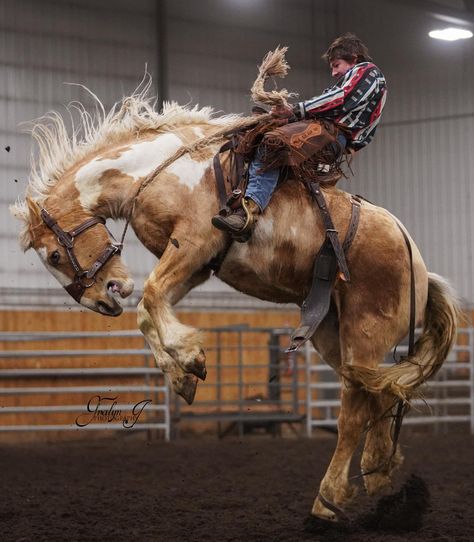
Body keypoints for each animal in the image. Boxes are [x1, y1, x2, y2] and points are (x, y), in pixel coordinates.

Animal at [12, 49, 460, 524]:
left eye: (54, 256)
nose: (102, 299)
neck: (159, 171)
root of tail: (419, 266)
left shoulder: (194, 243)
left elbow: (150, 298)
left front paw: (190, 358)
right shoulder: (197, 264)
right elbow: (148, 311)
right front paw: (184, 374)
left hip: (365, 333)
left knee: (355, 411)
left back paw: (329, 500)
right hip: (334, 334)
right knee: (379, 399)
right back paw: (376, 476)